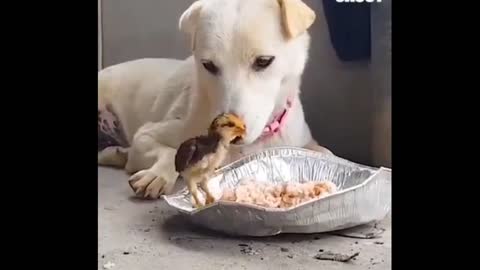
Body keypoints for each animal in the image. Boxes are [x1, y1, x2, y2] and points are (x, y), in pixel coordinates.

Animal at [98, 0, 334, 198]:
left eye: (264, 61)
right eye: (208, 65)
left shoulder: (303, 142)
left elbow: (326, 154)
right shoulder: (146, 135)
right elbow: (168, 150)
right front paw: (158, 175)